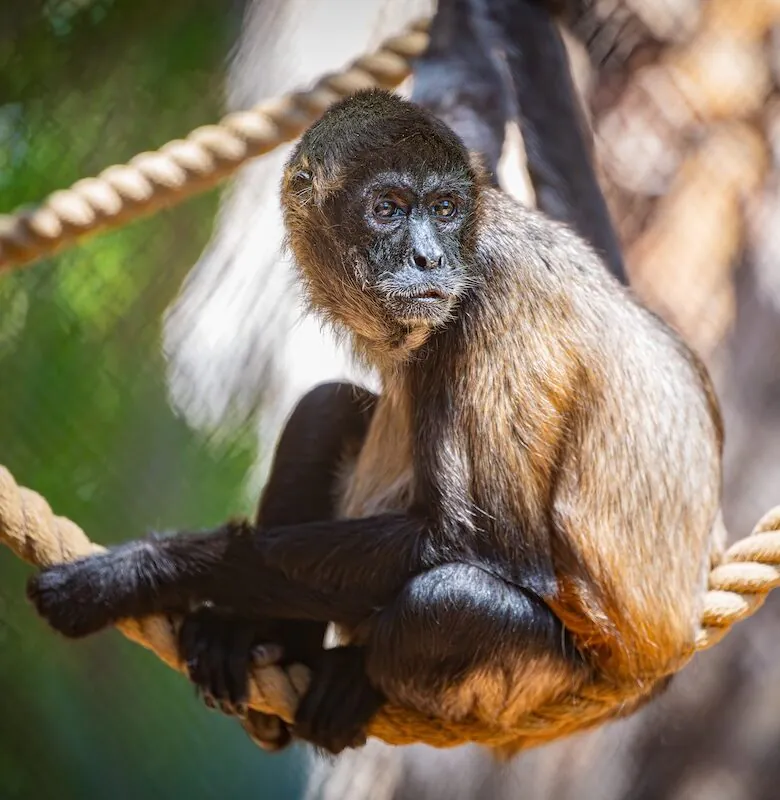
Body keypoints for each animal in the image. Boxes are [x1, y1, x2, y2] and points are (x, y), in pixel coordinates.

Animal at [26, 88, 724, 758]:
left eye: (444, 209)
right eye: (388, 208)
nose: (427, 257)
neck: (478, 237)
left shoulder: (496, 294)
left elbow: (481, 548)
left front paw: (134, 573)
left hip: (540, 683)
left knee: (448, 599)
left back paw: (348, 675)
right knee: (326, 406)